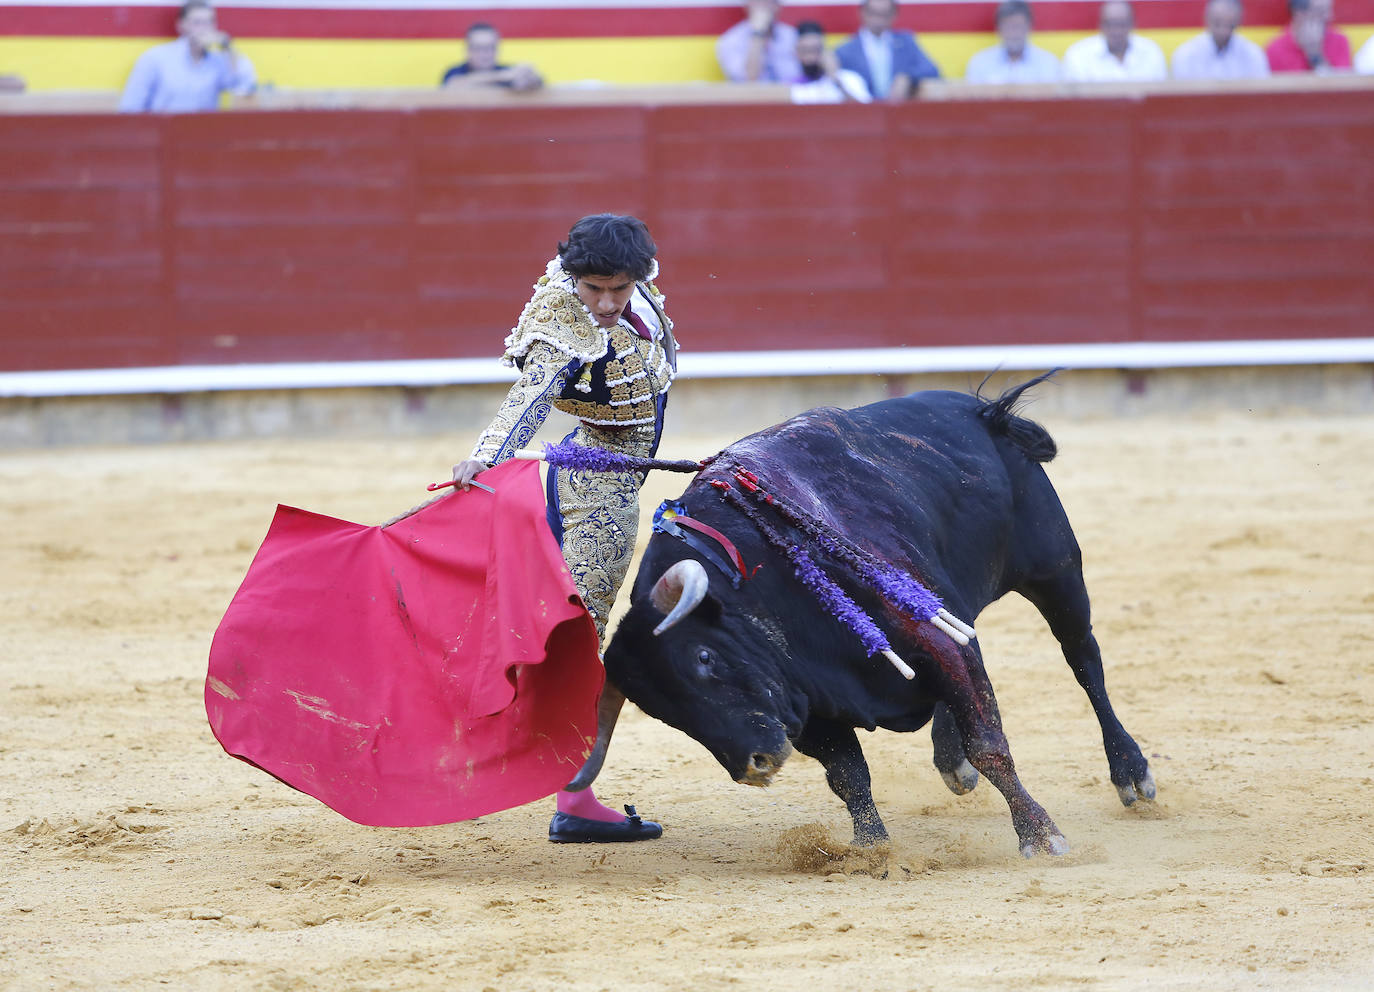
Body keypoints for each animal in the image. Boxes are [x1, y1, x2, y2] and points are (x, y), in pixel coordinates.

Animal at [571, 373, 1159, 851]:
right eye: (661, 711)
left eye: (703, 659)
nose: (753, 766)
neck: (759, 571)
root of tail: (982, 412)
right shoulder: (806, 700)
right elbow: (848, 774)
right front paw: (870, 849)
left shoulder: (924, 633)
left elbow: (990, 743)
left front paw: (1041, 835)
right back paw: (951, 762)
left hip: (1055, 570)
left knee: (1084, 661)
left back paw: (1130, 772)